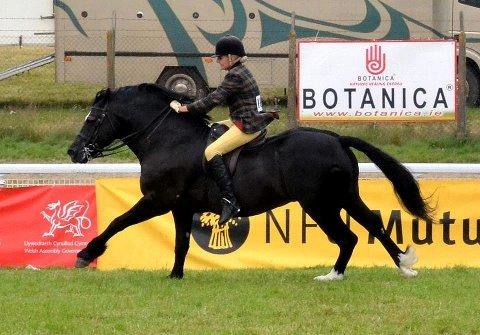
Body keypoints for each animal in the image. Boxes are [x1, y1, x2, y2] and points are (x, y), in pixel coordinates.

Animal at [69, 84, 434, 280]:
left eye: (93, 118)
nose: (74, 151)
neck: (168, 139)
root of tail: (336, 138)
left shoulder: (158, 200)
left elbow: (118, 222)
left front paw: (86, 253)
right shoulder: (181, 207)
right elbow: (182, 242)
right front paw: (175, 275)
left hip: (319, 204)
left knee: (347, 236)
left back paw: (333, 275)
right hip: (344, 196)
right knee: (372, 224)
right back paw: (403, 266)